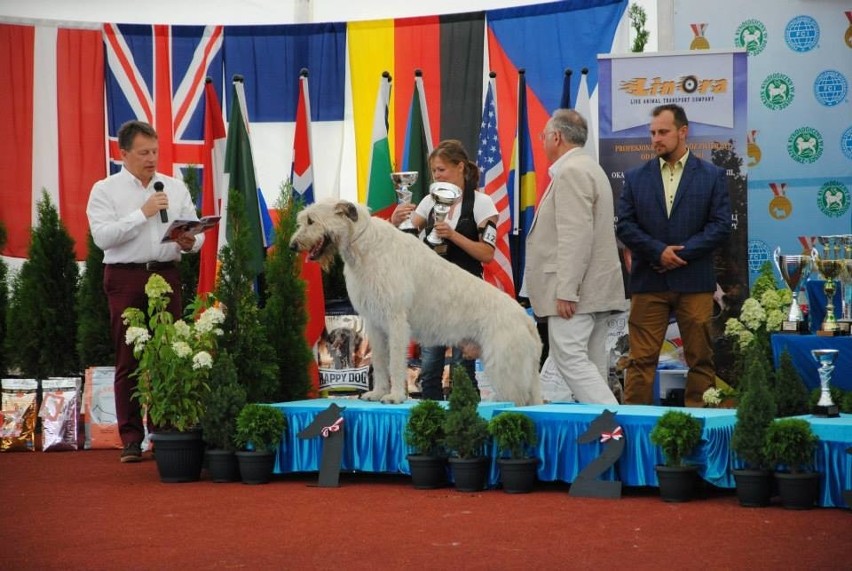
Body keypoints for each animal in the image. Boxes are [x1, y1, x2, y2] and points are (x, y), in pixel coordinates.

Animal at [290, 201, 544, 406]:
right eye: (303, 220)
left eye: (311, 220)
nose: (292, 246)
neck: (364, 244)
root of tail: (525, 318)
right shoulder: (374, 323)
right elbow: (380, 362)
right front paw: (378, 392)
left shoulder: (396, 321)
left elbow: (394, 362)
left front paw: (394, 396)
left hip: (505, 368)